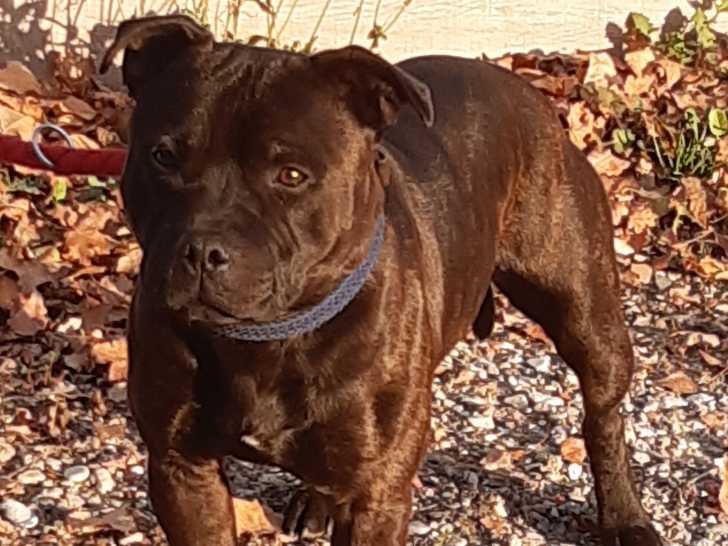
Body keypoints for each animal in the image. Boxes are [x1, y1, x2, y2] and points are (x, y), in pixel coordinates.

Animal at [100, 14, 663, 546]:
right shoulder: (182, 470)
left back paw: (625, 517)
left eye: (291, 175)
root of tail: (526, 90)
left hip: (585, 315)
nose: (201, 249)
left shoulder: (376, 498)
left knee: (603, 415)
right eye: (163, 156)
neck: (269, 338)